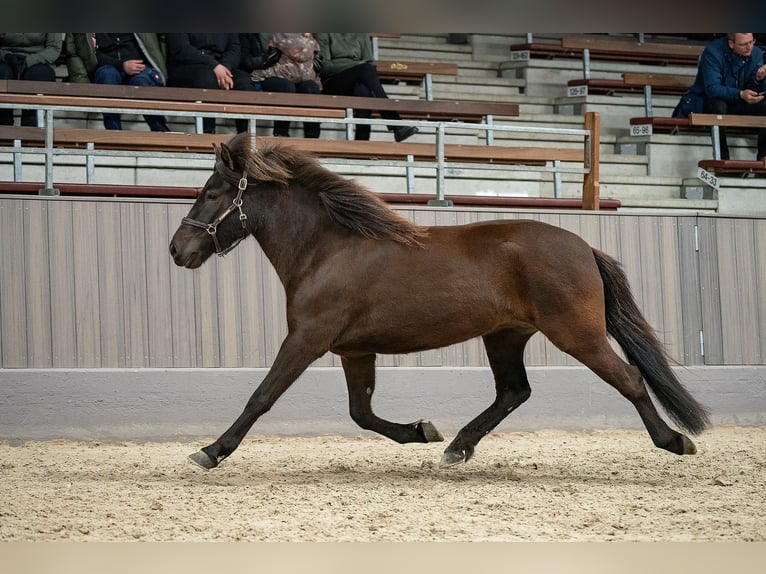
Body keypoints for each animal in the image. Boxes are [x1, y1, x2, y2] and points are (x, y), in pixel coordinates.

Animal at [169, 133, 711, 470]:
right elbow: (361, 413)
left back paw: (675, 441)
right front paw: (422, 430)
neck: (325, 249)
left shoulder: (306, 339)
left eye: (212, 193)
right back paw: (455, 448)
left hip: (577, 334)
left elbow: (262, 397)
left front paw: (211, 451)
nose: (177, 250)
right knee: (513, 392)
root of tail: (585, 248)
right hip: (506, 335)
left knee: (629, 378)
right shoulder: (354, 351)